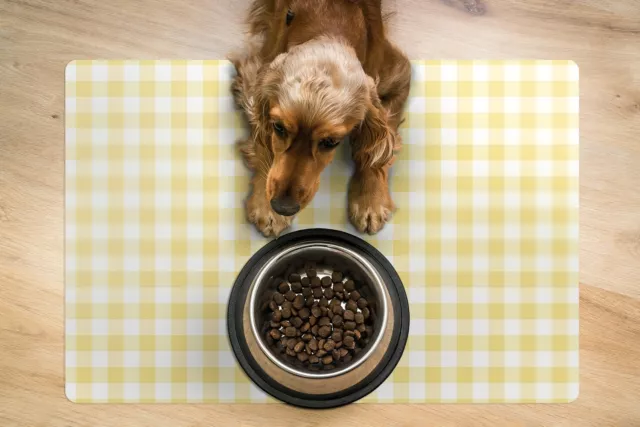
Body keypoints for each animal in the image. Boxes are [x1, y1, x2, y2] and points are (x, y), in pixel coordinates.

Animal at [230, 0, 410, 237]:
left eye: (330, 142)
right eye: (278, 128)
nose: (282, 207)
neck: (329, 29)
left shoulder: (398, 75)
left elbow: (378, 149)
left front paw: (370, 202)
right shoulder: (253, 76)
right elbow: (263, 142)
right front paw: (265, 207)